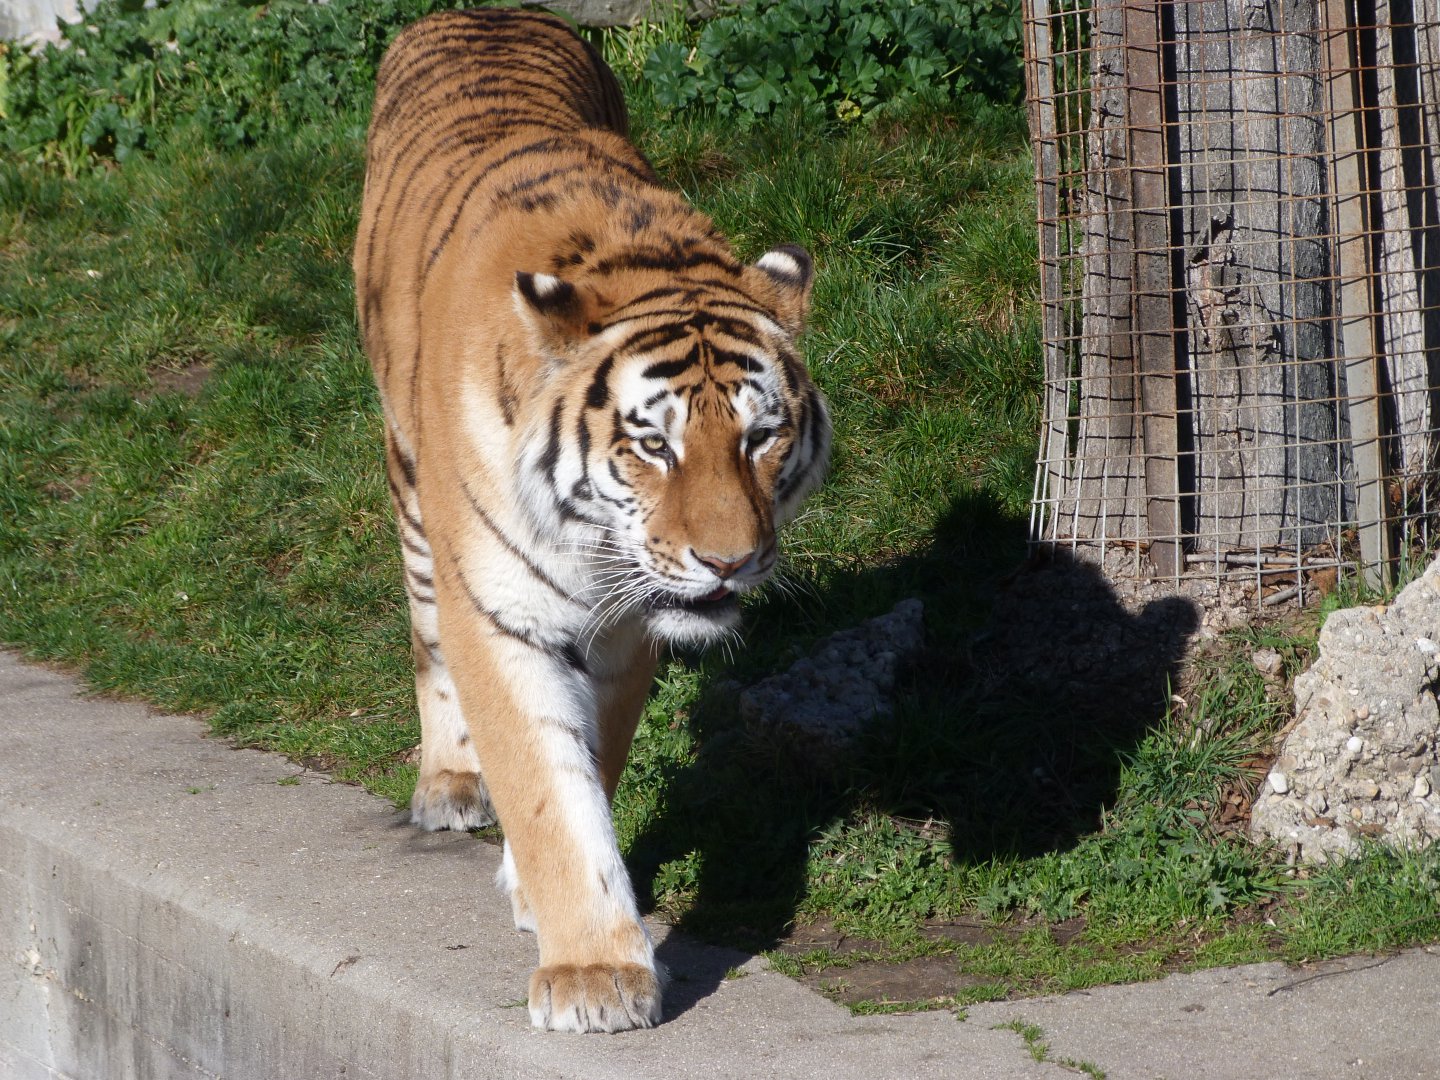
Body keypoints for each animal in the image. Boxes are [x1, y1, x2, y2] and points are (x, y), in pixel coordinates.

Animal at [353, 7, 831, 1033]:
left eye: (762, 435)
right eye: (653, 444)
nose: (729, 562)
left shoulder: (624, 628)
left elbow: (591, 760)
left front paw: (550, 902)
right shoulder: (499, 614)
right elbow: (540, 782)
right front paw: (594, 975)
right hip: (408, 486)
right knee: (424, 631)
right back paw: (448, 782)